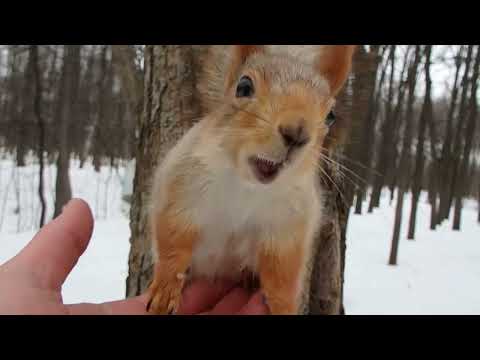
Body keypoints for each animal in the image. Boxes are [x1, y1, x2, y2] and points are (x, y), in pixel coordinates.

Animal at [147, 45, 356, 316]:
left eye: (331, 115)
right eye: (244, 87)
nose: (297, 132)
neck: (248, 186)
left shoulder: (288, 225)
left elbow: (282, 275)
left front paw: (283, 306)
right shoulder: (182, 188)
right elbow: (173, 243)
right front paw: (165, 289)